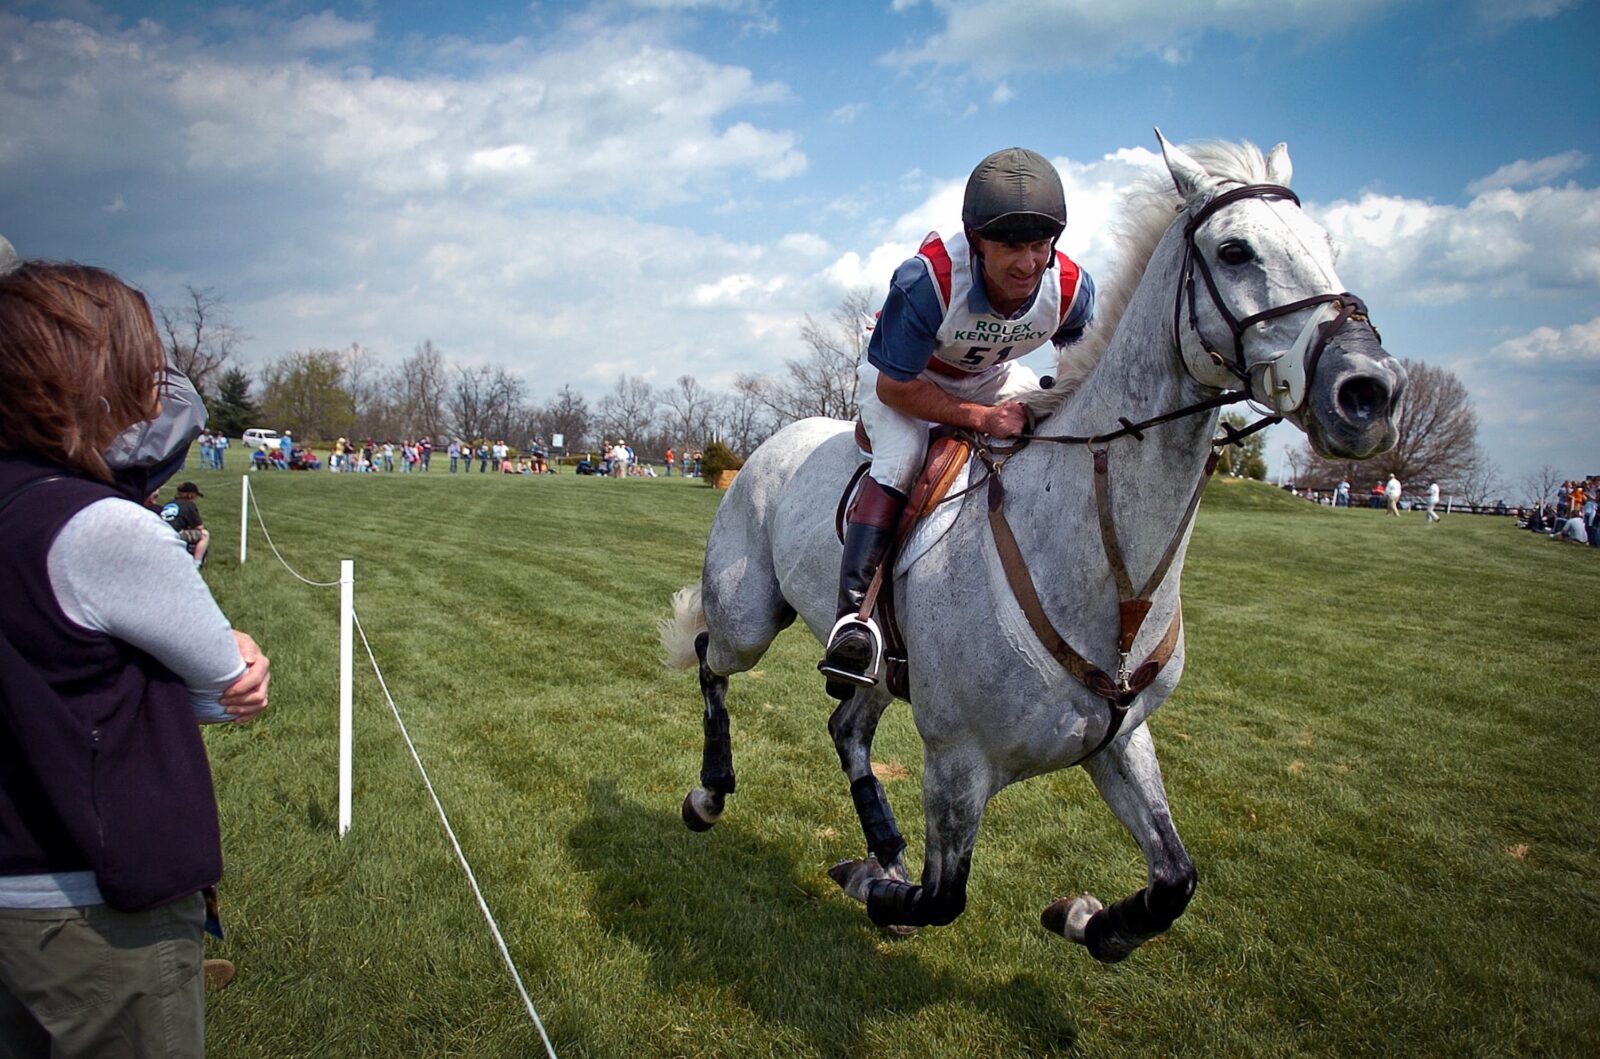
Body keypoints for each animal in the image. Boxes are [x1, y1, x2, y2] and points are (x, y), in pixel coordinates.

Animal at [656, 132, 1408, 959]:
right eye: (1235, 250)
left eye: (1327, 247)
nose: (1369, 392)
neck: (1112, 577)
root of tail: (771, 443)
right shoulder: (958, 761)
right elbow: (943, 896)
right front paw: (869, 884)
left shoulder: (1120, 740)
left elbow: (1175, 879)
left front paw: (1086, 918)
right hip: (752, 617)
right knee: (712, 658)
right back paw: (711, 796)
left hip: (883, 667)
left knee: (845, 726)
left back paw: (883, 846)